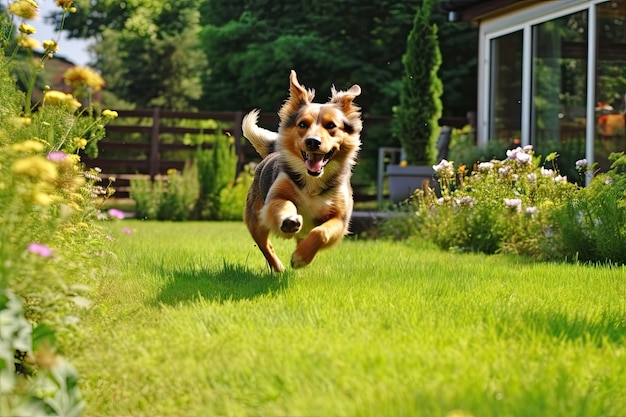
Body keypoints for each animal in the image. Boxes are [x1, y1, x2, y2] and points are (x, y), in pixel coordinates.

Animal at [243, 70, 364, 272]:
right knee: (264, 245)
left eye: (331, 125)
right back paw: (278, 267)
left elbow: (321, 232)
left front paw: (301, 257)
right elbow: (284, 204)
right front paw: (290, 220)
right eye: (302, 124)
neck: (313, 180)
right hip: (255, 219)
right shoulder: (275, 197)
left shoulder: (340, 218)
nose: (313, 141)